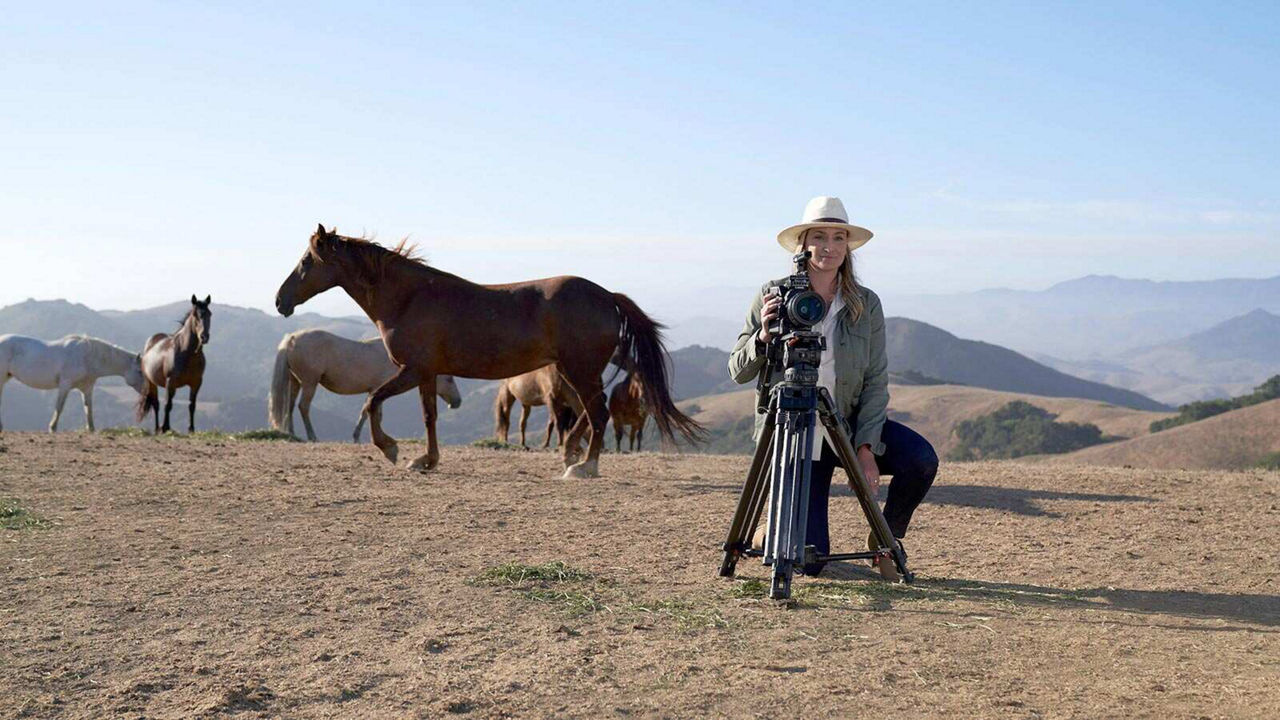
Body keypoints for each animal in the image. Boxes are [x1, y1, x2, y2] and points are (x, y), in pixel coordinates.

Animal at [0, 333, 145, 427]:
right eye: (140, 371)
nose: (146, 392)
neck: (87, 358)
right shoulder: (65, 385)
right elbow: (59, 407)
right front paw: (52, 428)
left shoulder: (87, 389)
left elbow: (88, 410)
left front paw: (91, 430)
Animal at [136, 295, 209, 435]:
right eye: (195, 315)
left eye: (209, 314)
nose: (204, 337)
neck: (188, 354)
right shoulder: (171, 382)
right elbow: (168, 405)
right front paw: (165, 427)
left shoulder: (196, 383)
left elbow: (192, 405)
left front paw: (191, 429)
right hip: (151, 382)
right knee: (156, 404)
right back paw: (158, 428)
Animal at [267, 327, 463, 440]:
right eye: (449, 379)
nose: (457, 402)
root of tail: (292, 339)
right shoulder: (377, 389)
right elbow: (371, 413)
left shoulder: (374, 390)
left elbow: (368, 412)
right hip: (309, 382)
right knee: (303, 407)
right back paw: (312, 436)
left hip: (295, 381)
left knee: (289, 405)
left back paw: (291, 433)